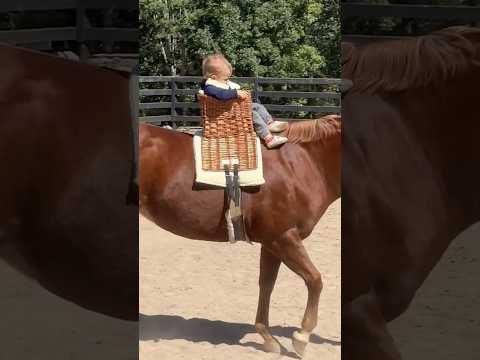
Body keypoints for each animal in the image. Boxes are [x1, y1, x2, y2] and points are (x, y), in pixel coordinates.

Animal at [139, 114, 342, 354]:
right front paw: (301, 336)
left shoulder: (271, 242)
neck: (302, 163)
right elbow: (314, 280)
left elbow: (267, 284)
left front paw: (268, 337)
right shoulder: (284, 237)